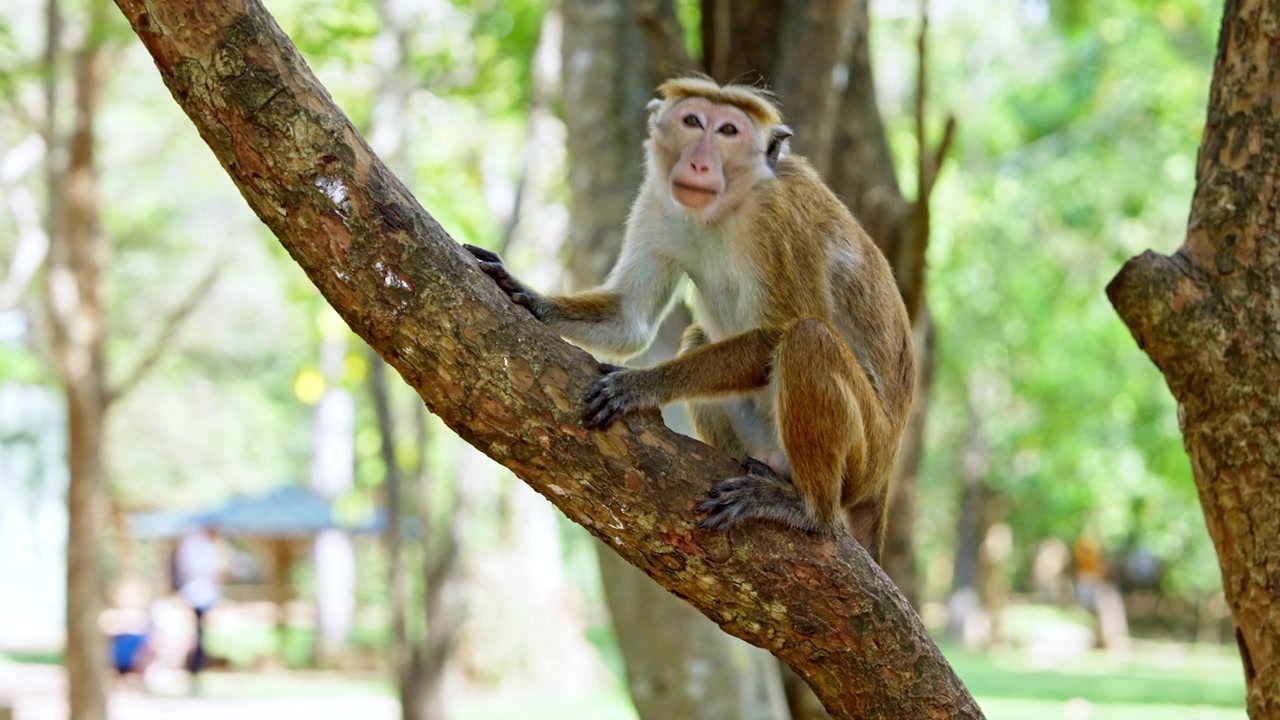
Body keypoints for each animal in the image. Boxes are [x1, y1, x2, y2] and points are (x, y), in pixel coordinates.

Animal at [464, 75, 914, 561]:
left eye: (729, 131)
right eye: (693, 121)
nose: (698, 162)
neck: (724, 209)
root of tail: (885, 476)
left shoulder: (779, 219)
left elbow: (777, 332)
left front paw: (641, 384)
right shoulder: (658, 201)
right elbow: (630, 316)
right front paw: (528, 296)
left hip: (866, 458)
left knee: (806, 338)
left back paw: (808, 510)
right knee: (701, 336)